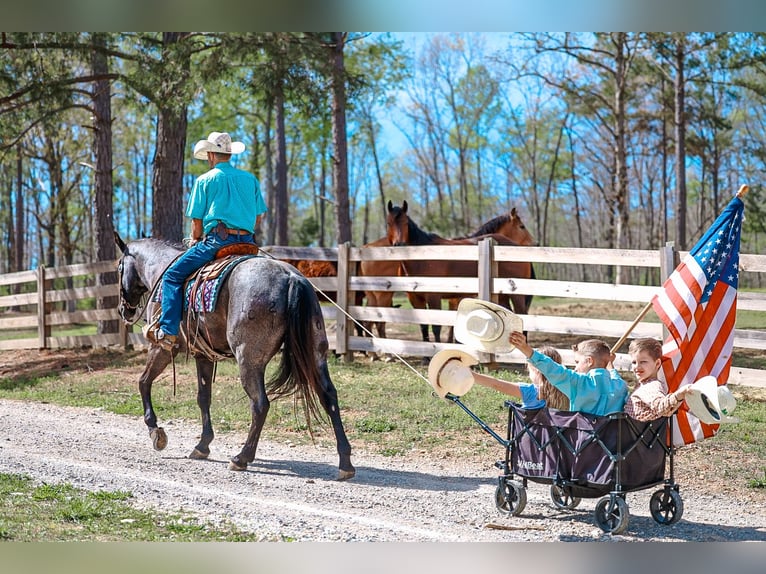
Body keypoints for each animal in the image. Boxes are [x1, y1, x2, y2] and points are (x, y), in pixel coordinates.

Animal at [113, 232, 355, 480]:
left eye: (119, 267)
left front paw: (156, 432)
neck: (161, 269)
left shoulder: (161, 348)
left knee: (260, 404)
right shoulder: (203, 355)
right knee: (329, 397)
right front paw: (202, 445)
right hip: (316, 354)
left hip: (248, 360)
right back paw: (345, 462)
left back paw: (242, 457)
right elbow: (203, 397)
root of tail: (291, 279)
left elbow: (143, 382)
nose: (124, 310)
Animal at [385, 200, 535, 342]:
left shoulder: (435, 297)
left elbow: (437, 328)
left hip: (516, 295)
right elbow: (424, 327)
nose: (399, 245)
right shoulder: (415, 299)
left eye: (405, 223)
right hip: (502, 295)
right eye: (388, 223)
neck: (423, 256)